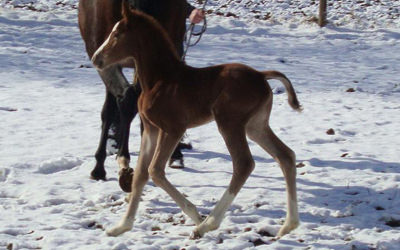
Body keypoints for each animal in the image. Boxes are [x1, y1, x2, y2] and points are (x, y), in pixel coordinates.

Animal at [92, 2, 302, 240]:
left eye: (117, 34)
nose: (96, 58)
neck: (160, 80)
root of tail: (260, 75)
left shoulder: (173, 129)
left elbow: (155, 170)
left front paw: (194, 214)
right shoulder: (151, 129)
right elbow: (140, 175)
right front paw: (121, 226)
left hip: (230, 123)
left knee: (244, 164)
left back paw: (206, 225)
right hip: (255, 126)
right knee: (285, 156)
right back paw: (289, 225)